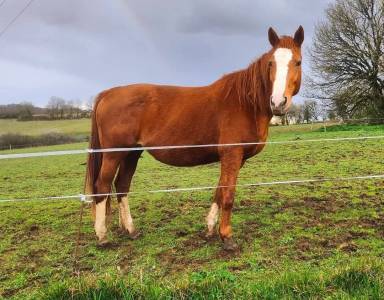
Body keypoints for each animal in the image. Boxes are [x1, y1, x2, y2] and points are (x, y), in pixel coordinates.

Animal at [85, 26, 304, 251]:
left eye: (298, 62)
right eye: (271, 63)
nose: (278, 102)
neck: (245, 103)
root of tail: (108, 93)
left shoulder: (234, 159)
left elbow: (219, 191)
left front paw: (210, 228)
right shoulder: (232, 154)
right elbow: (228, 194)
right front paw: (227, 237)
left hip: (131, 153)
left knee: (122, 186)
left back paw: (130, 230)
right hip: (113, 154)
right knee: (102, 186)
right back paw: (102, 235)